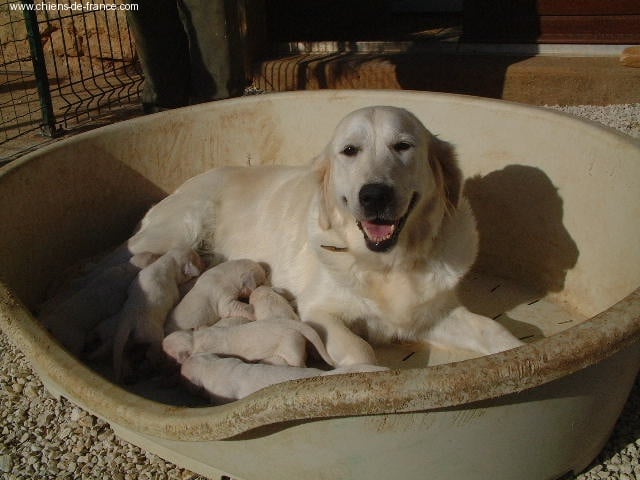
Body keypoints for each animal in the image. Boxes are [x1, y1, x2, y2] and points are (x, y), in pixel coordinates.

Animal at [126, 106, 524, 368]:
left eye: (403, 146)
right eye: (349, 151)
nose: (374, 195)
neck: (387, 265)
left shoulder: (433, 312)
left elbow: (492, 330)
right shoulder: (318, 309)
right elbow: (359, 349)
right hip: (181, 228)